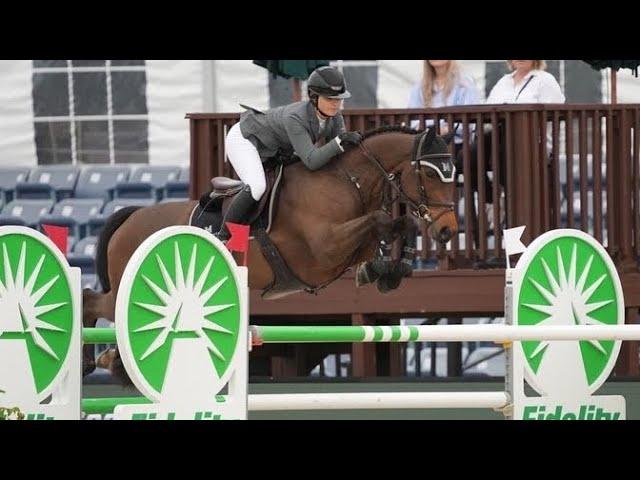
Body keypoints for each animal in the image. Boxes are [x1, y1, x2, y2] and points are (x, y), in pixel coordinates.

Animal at [85, 125, 458, 380]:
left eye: (454, 176)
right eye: (429, 175)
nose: (448, 230)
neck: (345, 182)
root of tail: (132, 216)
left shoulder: (345, 250)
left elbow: (396, 225)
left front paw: (388, 271)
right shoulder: (323, 250)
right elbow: (381, 220)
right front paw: (385, 268)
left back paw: (107, 361)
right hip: (131, 290)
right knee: (92, 300)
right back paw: (94, 360)